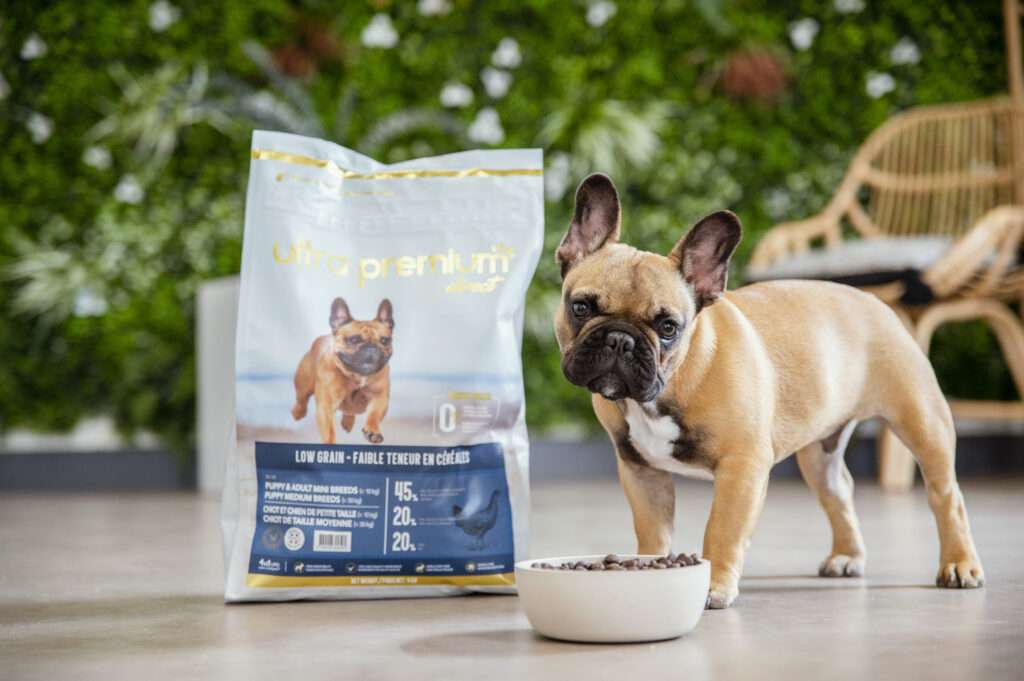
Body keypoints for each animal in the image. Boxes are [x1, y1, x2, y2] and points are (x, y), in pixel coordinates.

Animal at [296, 294, 395, 444]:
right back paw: (297, 413)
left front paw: (372, 431)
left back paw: (348, 423)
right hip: (304, 384)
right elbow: (329, 429)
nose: (371, 348)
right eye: (354, 340)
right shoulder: (326, 405)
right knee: (301, 399)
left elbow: (374, 415)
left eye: (384, 341)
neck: (357, 376)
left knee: (349, 411)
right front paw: (329, 444)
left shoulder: (380, 398)